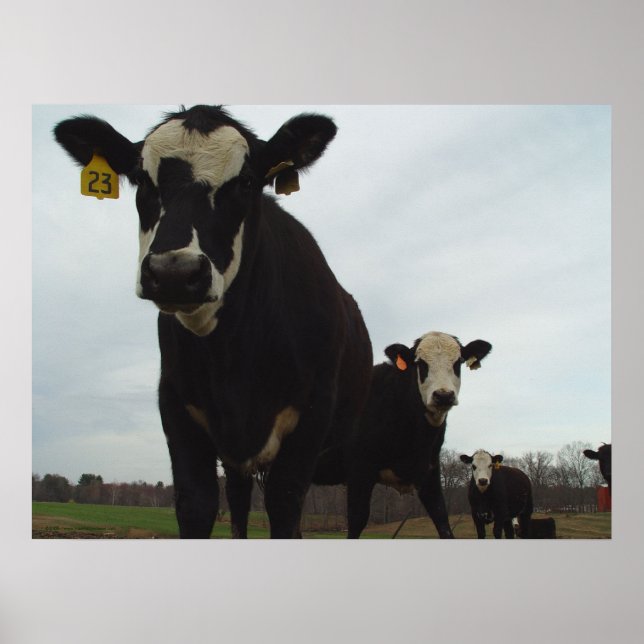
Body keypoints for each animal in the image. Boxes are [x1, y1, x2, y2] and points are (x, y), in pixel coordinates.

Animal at [54, 105, 373, 538]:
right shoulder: (175, 404)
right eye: (141, 178)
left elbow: (285, 505)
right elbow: (197, 503)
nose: (173, 271)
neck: (233, 359)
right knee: (237, 504)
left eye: (248, 181)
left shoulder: (313, 414)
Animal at [313, 331, 492, 538]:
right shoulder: (359, 470)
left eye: (458, 362)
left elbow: (442, 520)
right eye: (420, 363)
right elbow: (357, 520)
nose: (443, 395)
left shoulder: (429, 472)